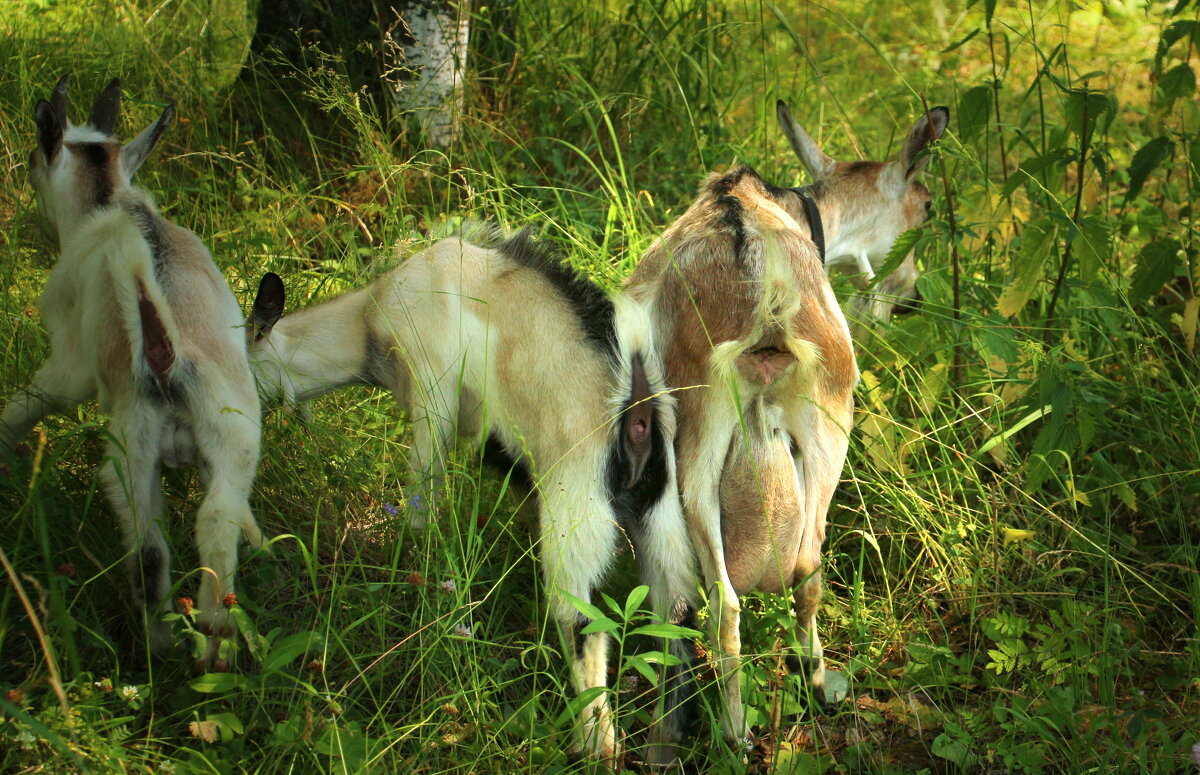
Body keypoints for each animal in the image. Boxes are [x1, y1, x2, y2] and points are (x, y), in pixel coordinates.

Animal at [2, 79, 265, 671]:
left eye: (31, 161)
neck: (109, 202)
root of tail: (166, 348)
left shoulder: (69, 362)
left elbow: (24, 404)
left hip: (131, 446)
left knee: (147, 547)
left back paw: (160, 645)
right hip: (233, 425)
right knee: (217, 518)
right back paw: (215, 640)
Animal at [248, 227, 700, 767]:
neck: (367, 320)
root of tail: (635, 394)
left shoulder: (433, 392)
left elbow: (423, 491)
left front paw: (412, 564)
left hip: (577, 506)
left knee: (583, 623)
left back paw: (597, 747)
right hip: (661, 514)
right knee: (677, 613)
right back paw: (663, 746)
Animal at [628, 103, 945, 753]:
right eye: (926, 206)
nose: (911, 295)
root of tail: (766, 308)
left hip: (707, 448)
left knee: (725, 601)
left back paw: (732, 728)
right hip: (822, 427)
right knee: (798, 576)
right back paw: (807, 692)